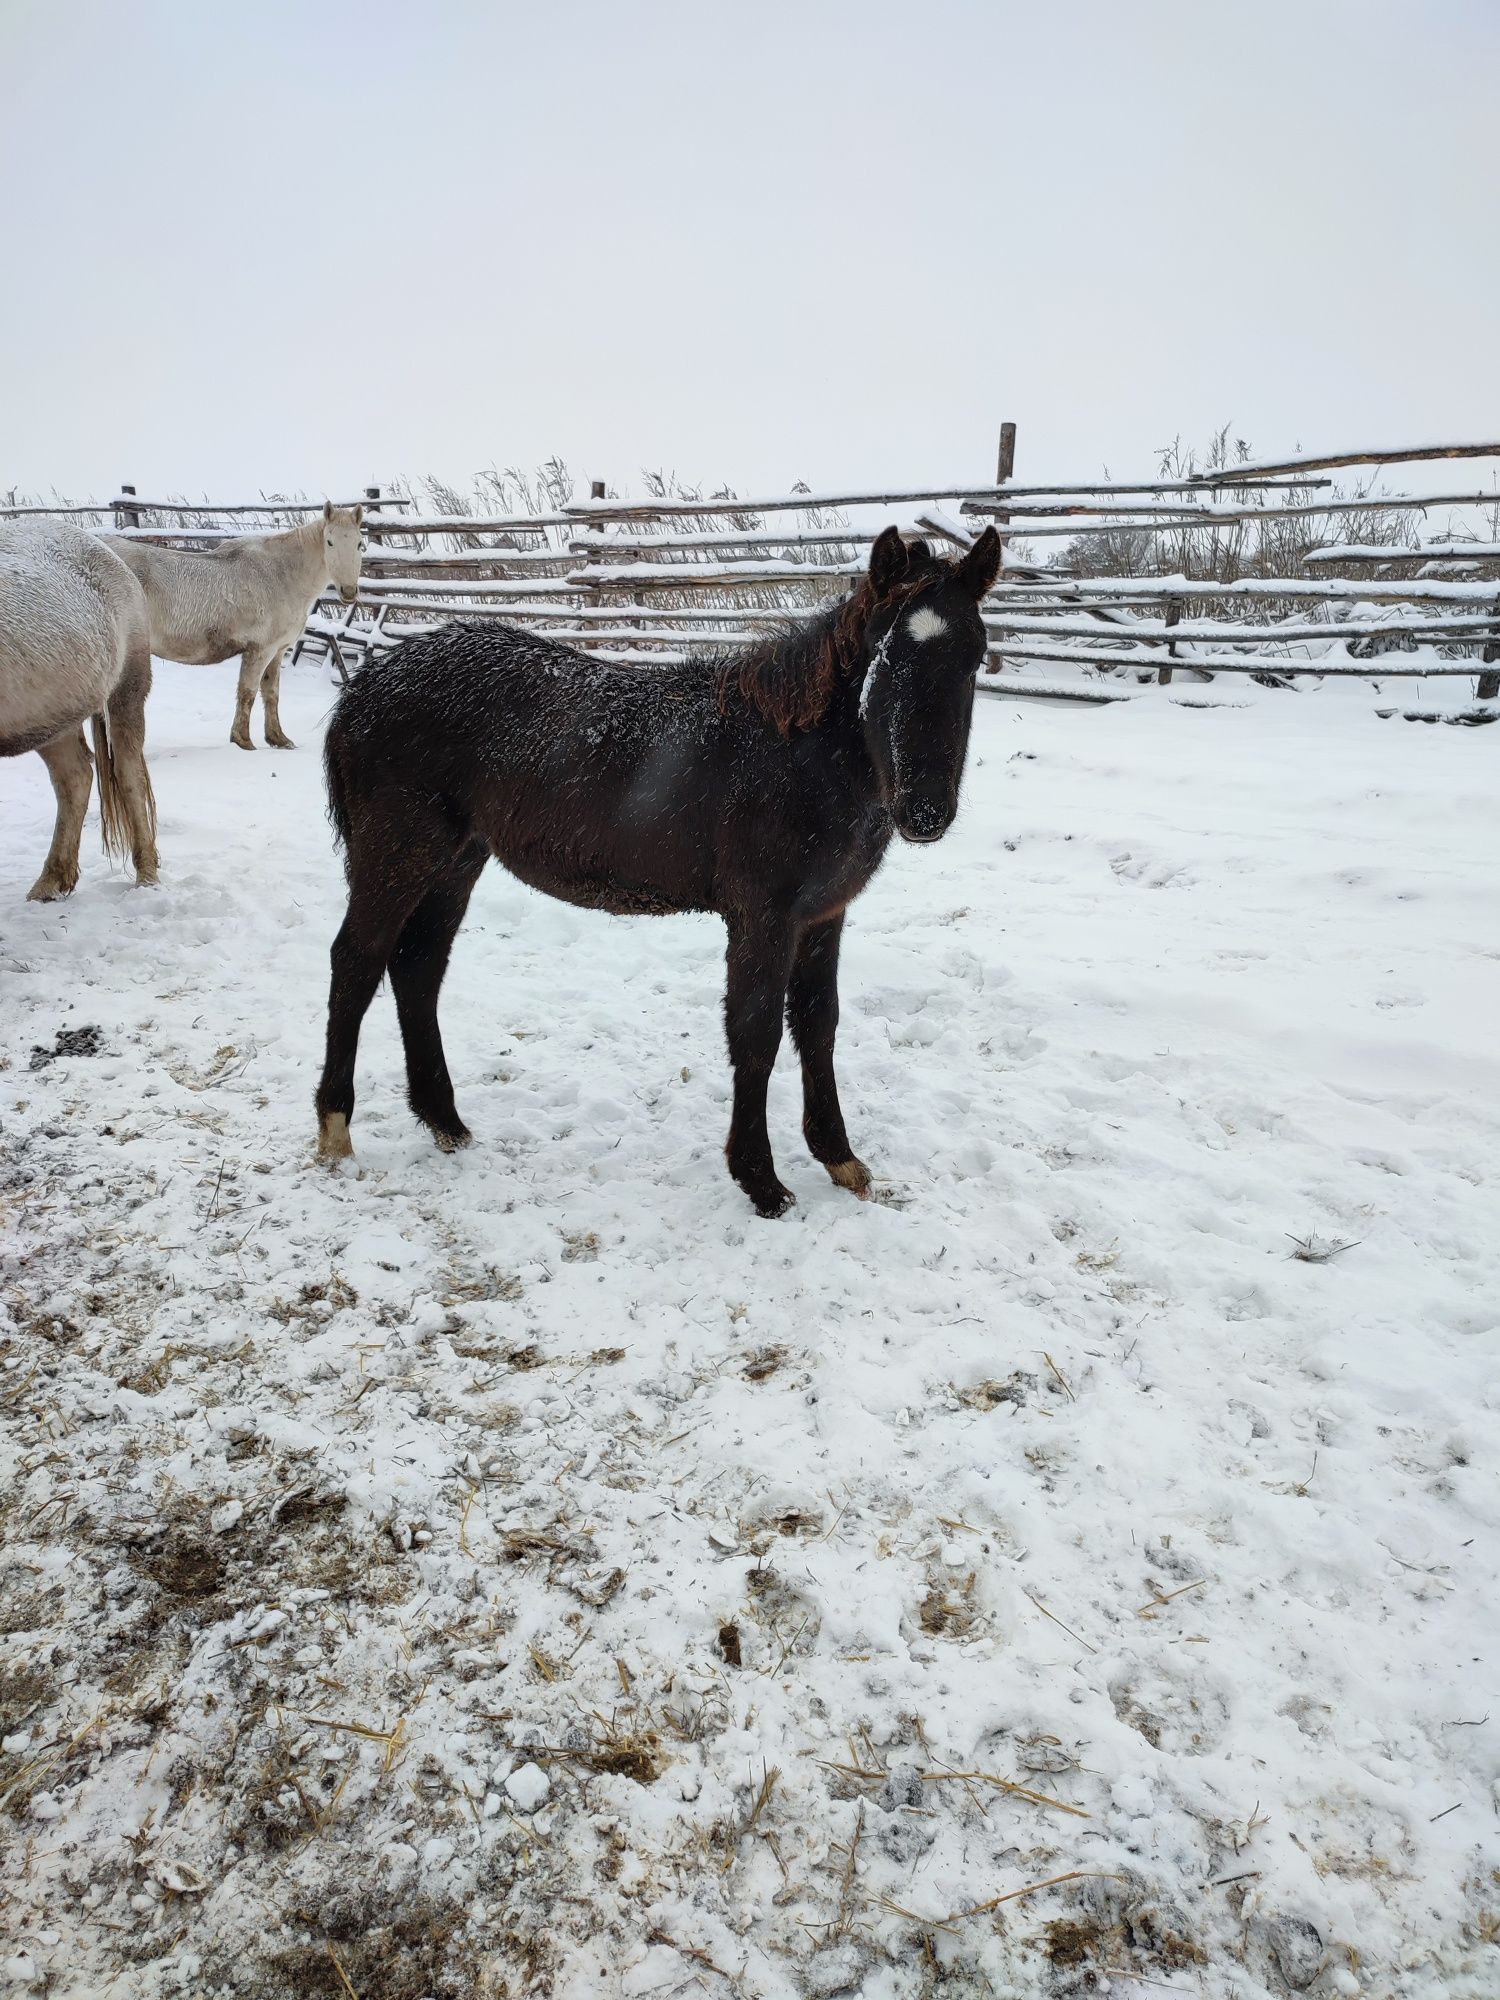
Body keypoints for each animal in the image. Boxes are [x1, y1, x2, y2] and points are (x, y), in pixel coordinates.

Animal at [1, 524, 159, 908]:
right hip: (51, 719)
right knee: (75, 778)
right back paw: (51, 882)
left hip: (126, 691)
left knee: (129, 775)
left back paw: (147, 878)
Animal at [108, 500, 364, 752]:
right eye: (329, 542)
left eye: (360, 544)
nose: (349, 592)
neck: (281, 575)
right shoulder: (260, 650)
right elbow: (247, 693)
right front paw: (243, 741)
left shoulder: (277, 651)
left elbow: (271, 693)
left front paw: (278, 739)